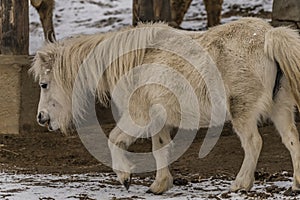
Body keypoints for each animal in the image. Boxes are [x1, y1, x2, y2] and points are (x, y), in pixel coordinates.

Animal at [29, 18, 300, 195]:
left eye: (44, 84)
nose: (41, 117)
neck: (131, 60)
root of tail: (268, 36)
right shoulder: (159, 120)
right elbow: (160, 150)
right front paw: (160, 185)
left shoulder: (137, 117)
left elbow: (114, 140)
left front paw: (125, 176)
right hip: (280, 108)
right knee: (292, 140)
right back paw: (295, 184)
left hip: (242, 111)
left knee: (254, 143)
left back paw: (240, 184)